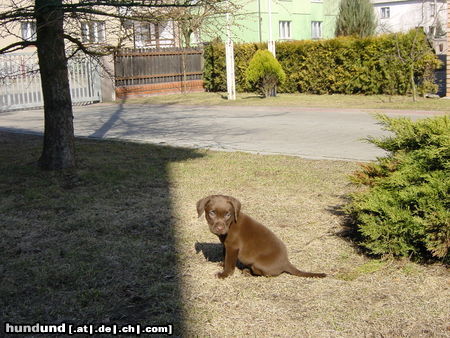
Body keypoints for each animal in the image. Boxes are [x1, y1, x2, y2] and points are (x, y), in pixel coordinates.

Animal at [195, 194, 326, 278]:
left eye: (228, 214)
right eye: (212, 213)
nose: (220, 228)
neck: (231, 224)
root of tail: (286, 262)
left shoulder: (233, 247)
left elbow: (230, 262)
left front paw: (224, 274)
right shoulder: (226, 245)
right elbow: (225, 256)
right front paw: (223, 264)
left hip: (257, 264)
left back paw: (248, 272)